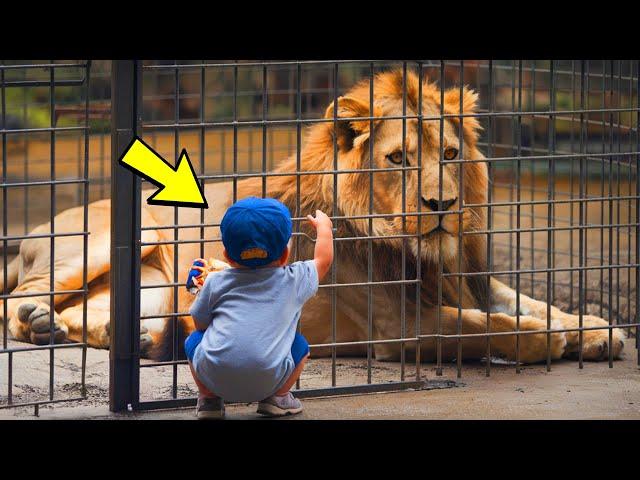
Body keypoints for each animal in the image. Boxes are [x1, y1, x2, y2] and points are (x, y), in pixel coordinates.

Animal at [0, 69, 624, 364]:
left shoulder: (467, 280)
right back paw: (39, 321)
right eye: (399, 159)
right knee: (19, 299)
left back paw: (119, 335)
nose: (442, 207)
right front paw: (552, 340)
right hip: (124, 233)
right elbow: (497, 328)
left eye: (449, 154)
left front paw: (597, 330)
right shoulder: (398, 328)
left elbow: (534, 304)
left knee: (92, 314)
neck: (420, 252)